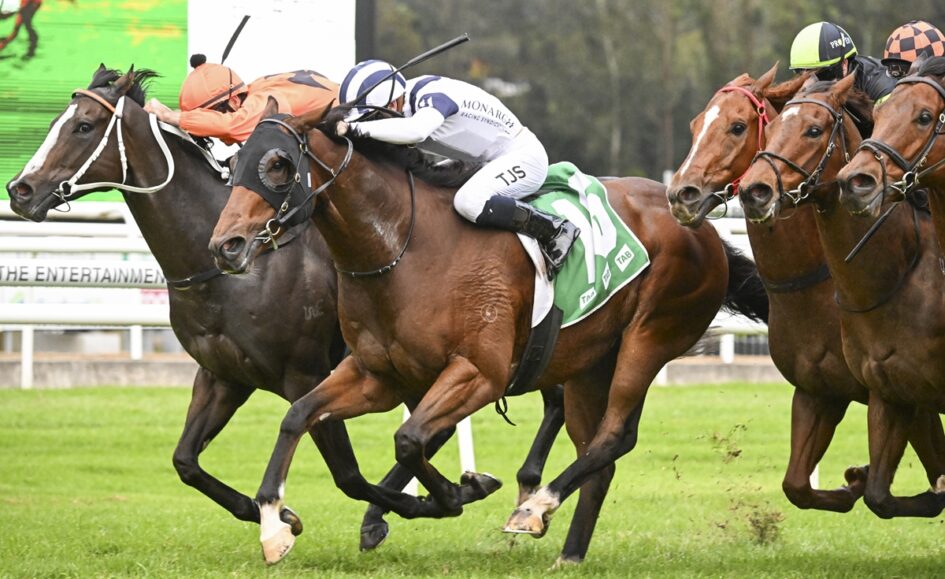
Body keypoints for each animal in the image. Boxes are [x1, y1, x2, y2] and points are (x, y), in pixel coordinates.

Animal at [3, 65, 569, 551]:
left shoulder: (305, 373)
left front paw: (427, 501)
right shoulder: (223, 375)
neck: (234, 271)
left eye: (83, 126)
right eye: (56, 121)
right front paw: (275, 515)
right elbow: (185, 461)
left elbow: (347, 473)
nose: (20, 190)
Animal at [207, 96, 769, 565]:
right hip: (590, 362)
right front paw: (274, 525)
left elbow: (409, 440)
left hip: (649, 338)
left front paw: (459, 493)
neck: (404, 248)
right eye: (233, 164)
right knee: (597, 453)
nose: (225, 245)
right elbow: (299, 419)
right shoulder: (376, 375)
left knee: (614, 437)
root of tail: (702, 226)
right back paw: (568, 552)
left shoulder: (479, 372)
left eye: (277, 164)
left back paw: (534, 508)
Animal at [668, 64, 888, 512]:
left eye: (738, 126)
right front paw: (853, 483)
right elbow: (797, 485)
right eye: (695, 125)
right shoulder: (820, 389)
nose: (681, 193)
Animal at [738, 73, 945, 519]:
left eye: (814, 130)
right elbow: (826, 489)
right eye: (772, 127)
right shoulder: (849, 391)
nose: (753, 191)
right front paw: (856, 480)